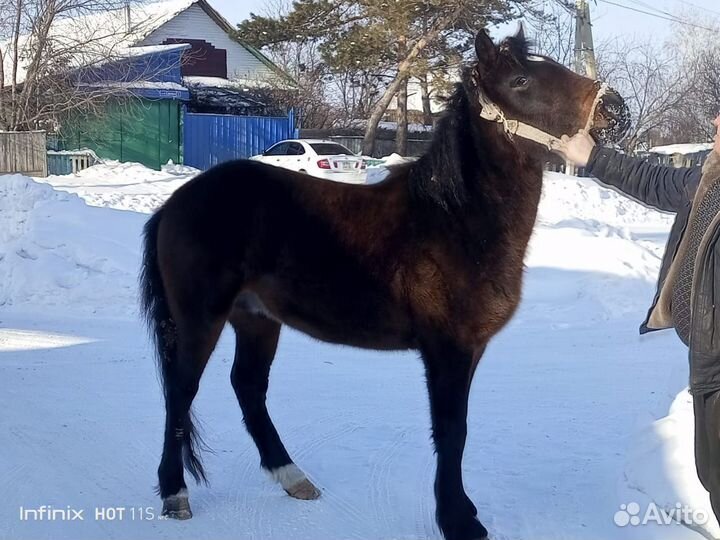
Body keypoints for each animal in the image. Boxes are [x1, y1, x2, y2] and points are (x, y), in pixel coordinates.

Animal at [140, 27, 629, 540]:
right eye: (520, 80)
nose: (616, 109)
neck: (453, 219)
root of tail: (174, 204)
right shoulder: (447, 349)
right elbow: (452, 430)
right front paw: (457, 520)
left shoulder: (471, 349)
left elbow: (458, 429)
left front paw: (462, 512)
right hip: (200, 318)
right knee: (180, 392)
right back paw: (174, 493)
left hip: (256, 318)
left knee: (248, 386)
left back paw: (293, 478)